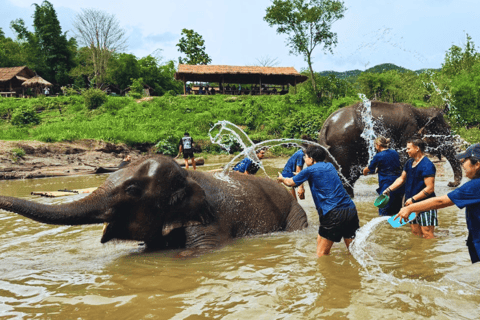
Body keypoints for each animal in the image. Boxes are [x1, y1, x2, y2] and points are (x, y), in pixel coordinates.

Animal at [318, 101, 462, 196]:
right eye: (445, 131)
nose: (450, 184)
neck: (421, 111)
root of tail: (326, 125)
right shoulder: (408, 132)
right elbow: (404, 161)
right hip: (343, 147)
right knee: (346, 176)